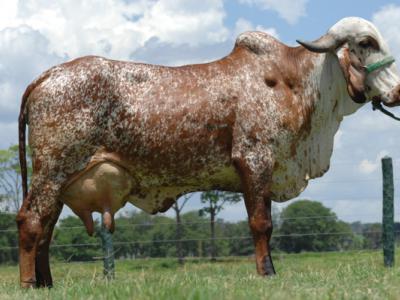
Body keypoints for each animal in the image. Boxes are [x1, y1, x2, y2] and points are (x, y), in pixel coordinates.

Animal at [16, 17, 400, 288]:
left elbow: (266, 225)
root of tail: (47, 76)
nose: (397, 91)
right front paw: (267, 273)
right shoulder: (254, 160)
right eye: (366, 43)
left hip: (60, 180)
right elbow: (261, 224)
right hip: (52, 171)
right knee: (31, 221)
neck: (299, 84)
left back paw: (47, 284)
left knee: (46, 226)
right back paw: (29, 283)